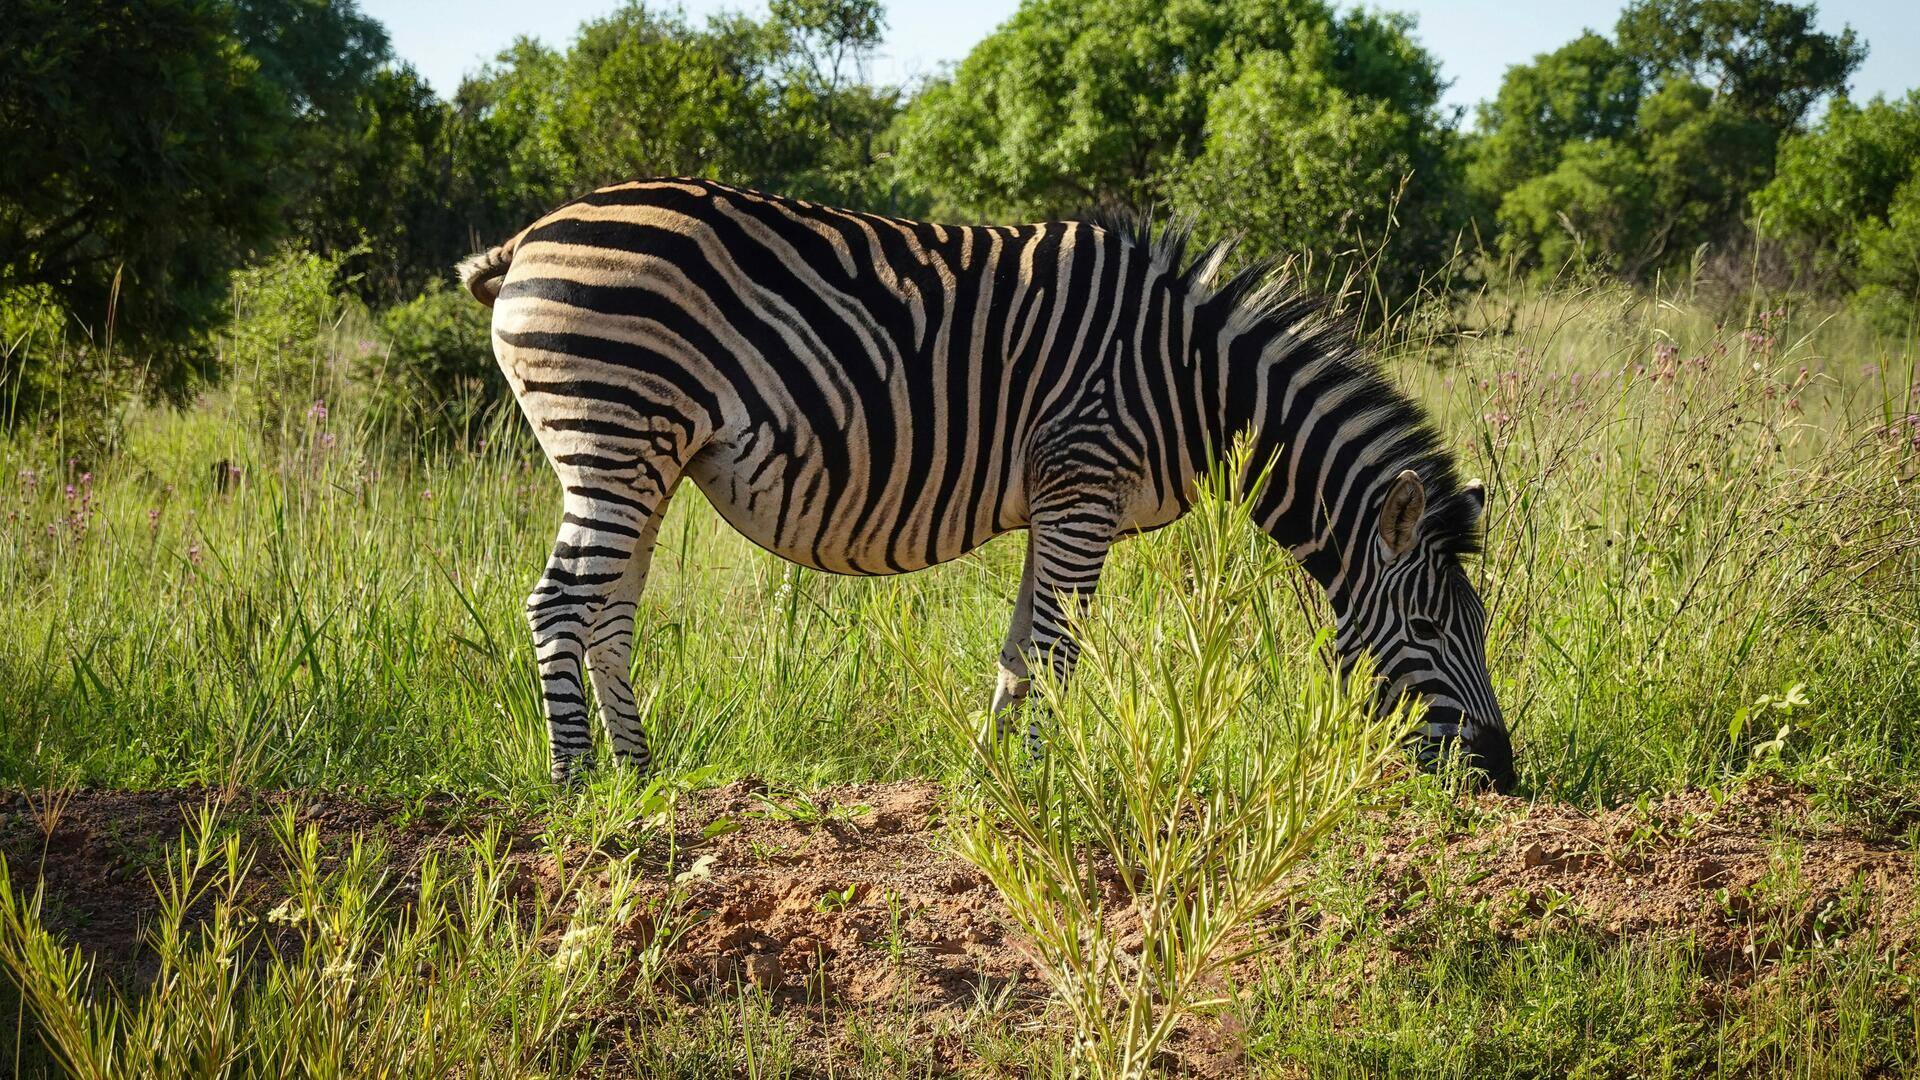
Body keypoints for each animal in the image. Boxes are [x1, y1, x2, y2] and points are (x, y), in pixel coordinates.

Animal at [453, 176, 1512, 791]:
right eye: (1428, 628)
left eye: (1476, 626)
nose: (1501, 774)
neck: (1199, 384)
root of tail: (533, 236)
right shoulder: (1083, 482)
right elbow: (1052, 652)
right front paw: (1039, 788)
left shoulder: (1065, 499)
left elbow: (1018, 652)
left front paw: (992, 780)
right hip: (614, 429)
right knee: (559, 604)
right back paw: (576, 790)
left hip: (643, 455)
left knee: (608, 611)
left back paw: (640, 778)